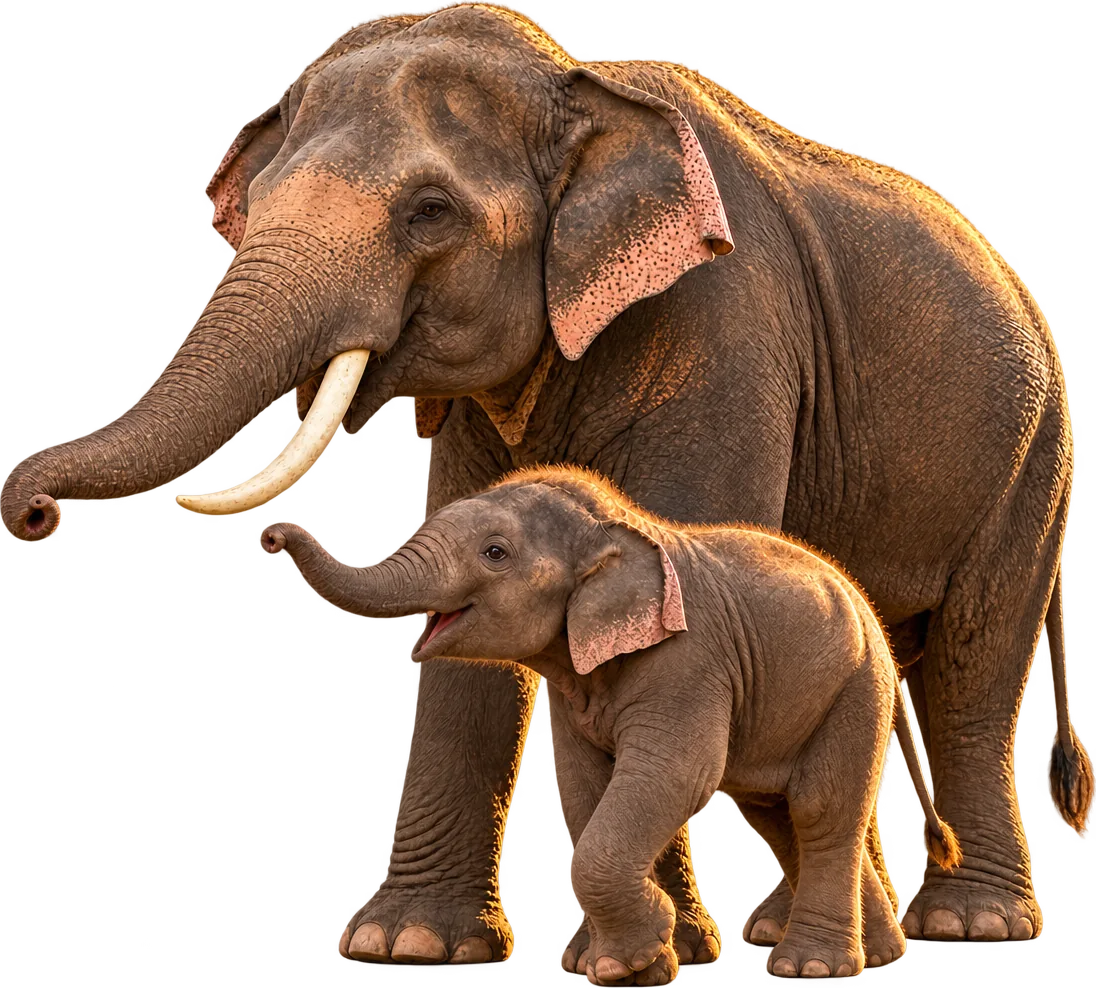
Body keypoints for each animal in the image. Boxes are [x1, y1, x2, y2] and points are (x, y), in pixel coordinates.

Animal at [259, 464, 964, 982]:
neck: (612, 527)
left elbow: (673, 775)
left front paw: (632, 961)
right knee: (774, 813)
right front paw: (616, 962)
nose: (270, 535)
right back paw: (881, 955)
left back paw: (813, 968)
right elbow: (583, 788)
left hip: (857, 686)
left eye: (495, 553)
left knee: (818, 808)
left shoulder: (688, 660)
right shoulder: (575, 684)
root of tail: (871, 611)